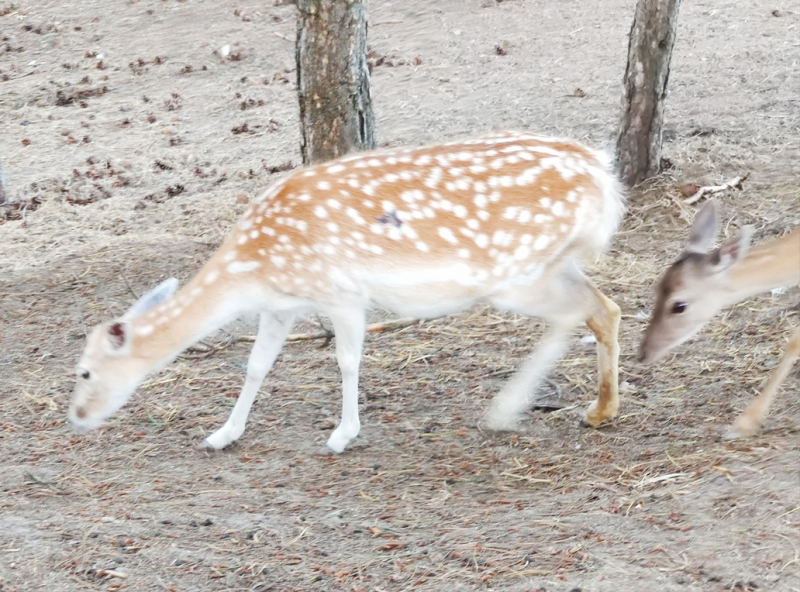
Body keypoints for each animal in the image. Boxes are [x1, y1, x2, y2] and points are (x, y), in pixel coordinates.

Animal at [69, 131, 624, 454]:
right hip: (551, 262)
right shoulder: (282, 305)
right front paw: (223, 434)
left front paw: (341, 435)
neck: (253, 266)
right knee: (606, 306)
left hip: (515, 272)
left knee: (576, 312)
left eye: (85, 371)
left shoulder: (340, 293)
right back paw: (599, 411)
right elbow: (256, 364)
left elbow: (347, 361)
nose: (76, 416)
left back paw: (504, 412)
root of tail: (603, 176)